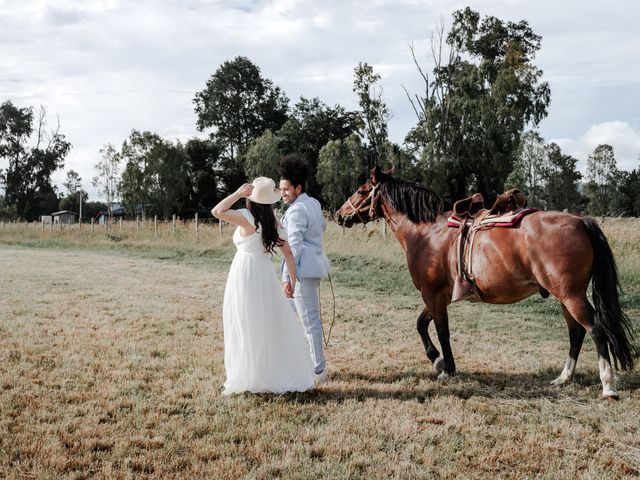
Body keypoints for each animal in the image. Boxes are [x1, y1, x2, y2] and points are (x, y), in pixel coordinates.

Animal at [338, 166, 636, 398]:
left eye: (362, 190)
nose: (341, 214)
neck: (426, 233)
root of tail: (581, 221)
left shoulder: (432, 293)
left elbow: (441, 330)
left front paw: (446, 368)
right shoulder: (438, 294)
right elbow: (422, 324)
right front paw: (437, 359)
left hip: (571, 295)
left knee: (596, 329)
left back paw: (607, 385)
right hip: (565, 296)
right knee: (576, 333)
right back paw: (563, 378)